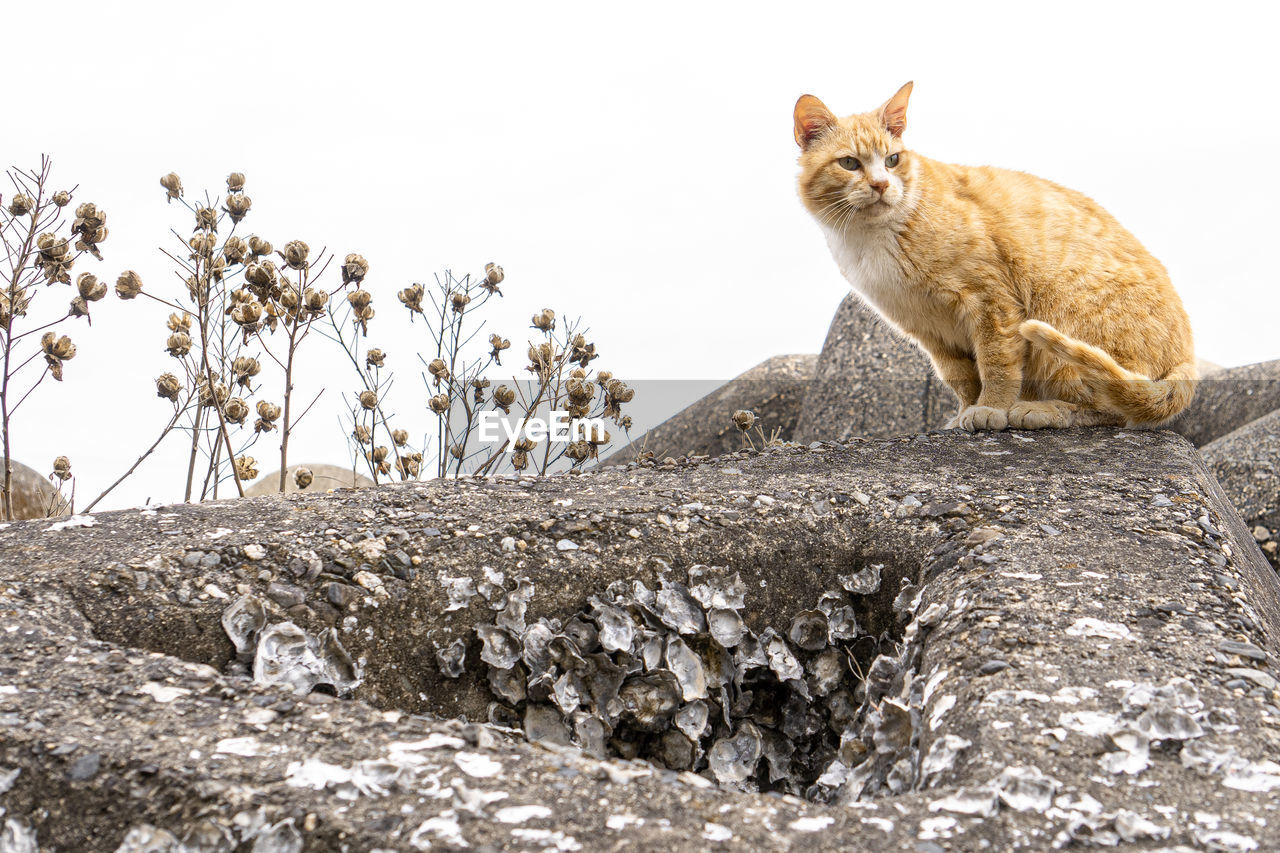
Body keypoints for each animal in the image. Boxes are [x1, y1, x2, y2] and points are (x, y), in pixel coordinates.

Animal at [793, 83, 1192, 427]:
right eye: (849, 163)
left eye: (892, 160)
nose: (880, 184)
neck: (870, 239)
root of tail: (1186, 349)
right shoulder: (929, 330)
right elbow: (961, 377)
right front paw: (965, 412)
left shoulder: (991, 300)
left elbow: (997, 362)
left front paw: (992, 408)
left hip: (1060, 315)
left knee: (1109, 407)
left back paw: (1042, 410)